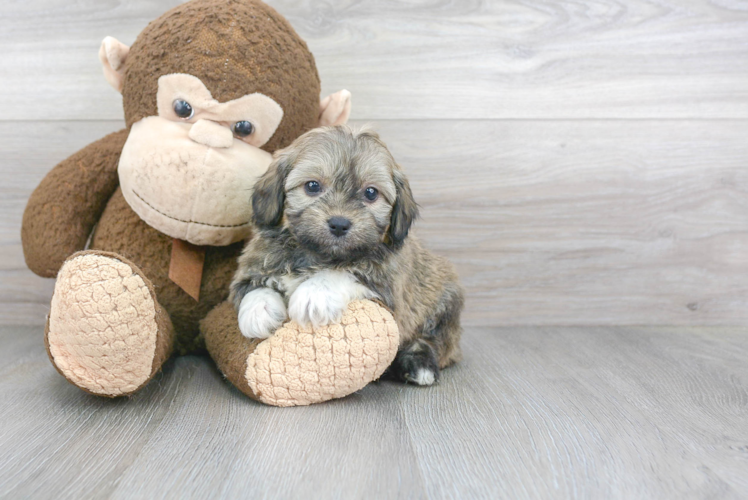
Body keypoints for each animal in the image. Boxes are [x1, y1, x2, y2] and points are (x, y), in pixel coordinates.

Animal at [229, 126, 462, 386]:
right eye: (312, 186)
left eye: (370, 193)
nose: (339, 224)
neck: (317, 254)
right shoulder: (252, 265)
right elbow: (254, 286)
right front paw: (258, 312)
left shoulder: (387, 285)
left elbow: (345, 272)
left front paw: (314, 294)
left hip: (444, 302)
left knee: (434, 340)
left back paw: (420, 364)